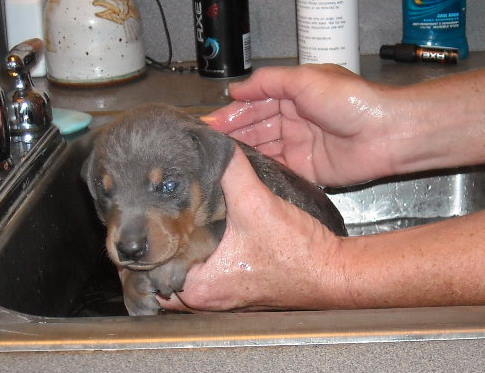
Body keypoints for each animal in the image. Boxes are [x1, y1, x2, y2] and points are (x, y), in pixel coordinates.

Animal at [83, 103, 346, 316]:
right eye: (105, 191)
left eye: (168, 185)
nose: (130, 249)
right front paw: (133, 290)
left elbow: (209, 230)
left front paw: (170, 265)